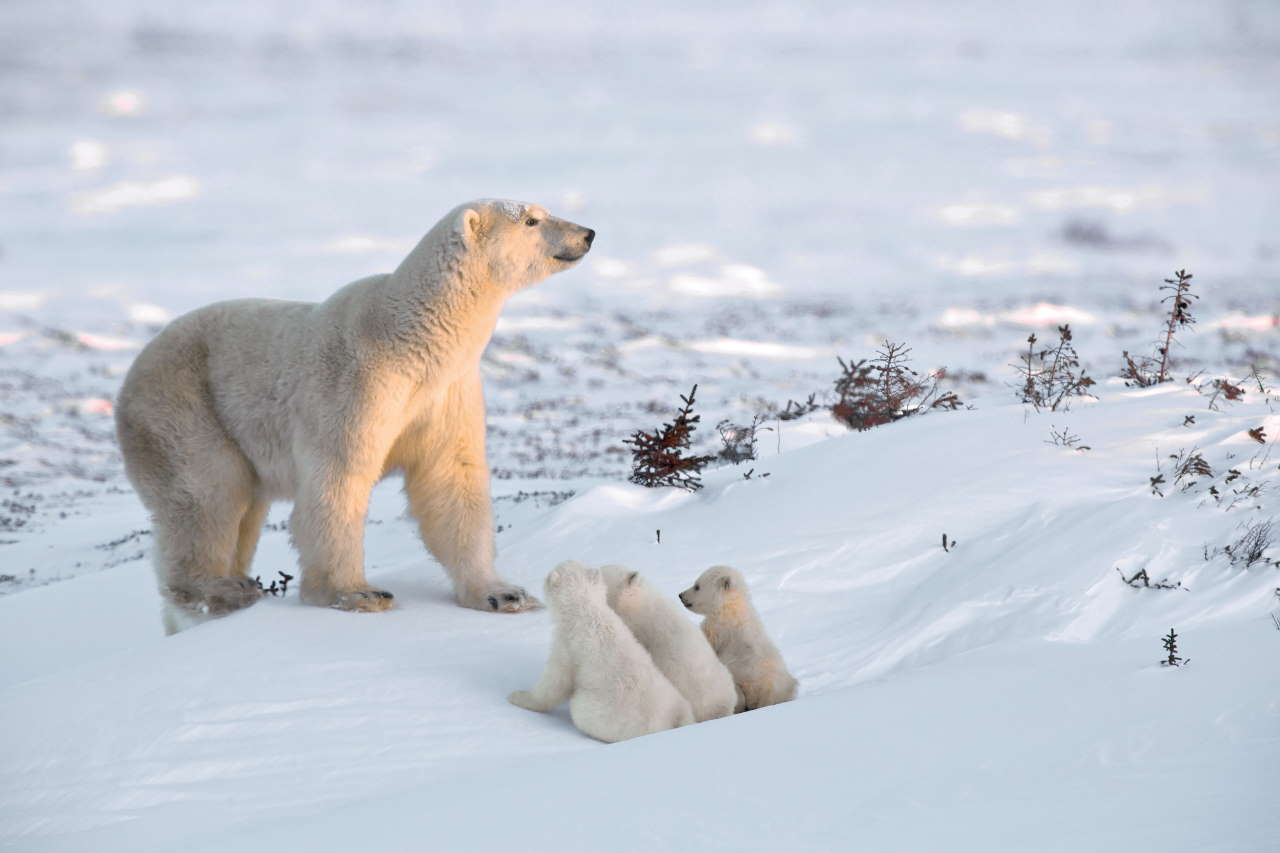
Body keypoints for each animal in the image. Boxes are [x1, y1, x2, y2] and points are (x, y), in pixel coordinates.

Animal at [112, 195, 591, 627]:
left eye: (541, 211)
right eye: (532, 219)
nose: (587, 233)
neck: (411, 339)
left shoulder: (447, 393)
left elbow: (451, 476)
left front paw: (503, 594)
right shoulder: (356, 381)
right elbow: (338, 477)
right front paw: (358, 592)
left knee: (242, 510)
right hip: (182, 407)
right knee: (207, 492)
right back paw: (222, 589)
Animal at [506, 558, 696, 737]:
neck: (587, 611)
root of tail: (671, 721)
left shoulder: (567, 646)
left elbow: (554, 683)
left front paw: (517, 696)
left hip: (606, 713)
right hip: (676, 698)